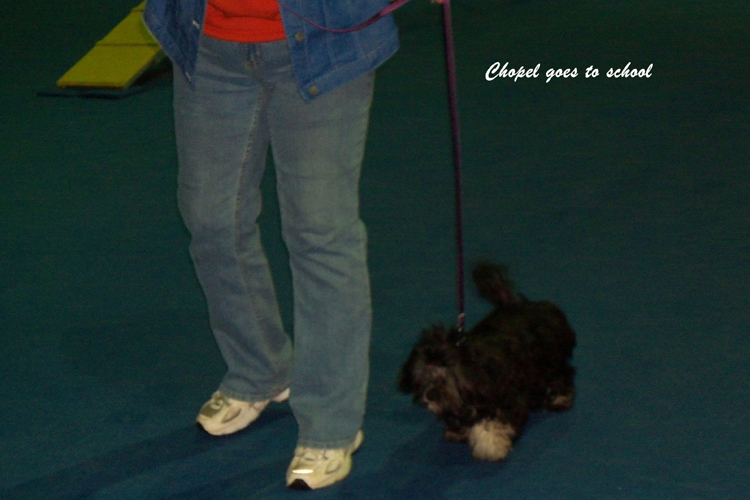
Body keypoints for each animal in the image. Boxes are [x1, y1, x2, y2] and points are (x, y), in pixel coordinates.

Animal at [398, 262, 576, 461]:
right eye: (423, 376)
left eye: (445, 376)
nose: (429, 395)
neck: (473, 372)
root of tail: (517, 304)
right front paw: (457, 430)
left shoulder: (509, 397)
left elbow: (495, 424)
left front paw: (491, 444)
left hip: (550, 359)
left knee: (562, 374)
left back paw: (560, 398)